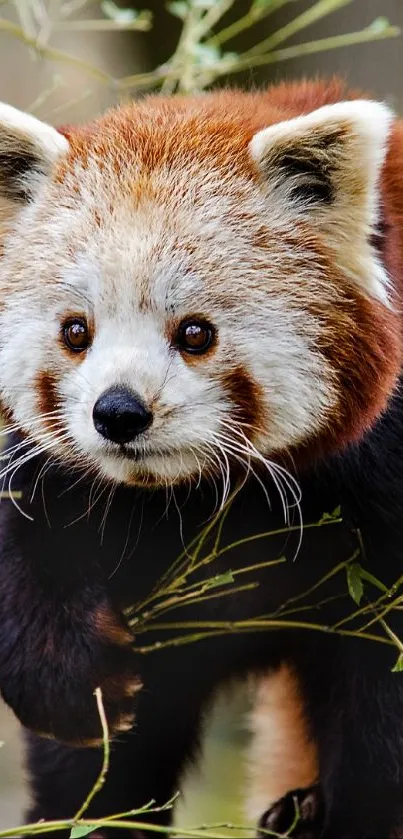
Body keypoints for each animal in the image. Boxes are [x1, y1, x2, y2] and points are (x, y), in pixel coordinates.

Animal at [0, 80, 402, 839]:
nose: (118, 413)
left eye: (195, 333)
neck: (194, 500)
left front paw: (353, 813)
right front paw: (65, 677)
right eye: (76, 332)